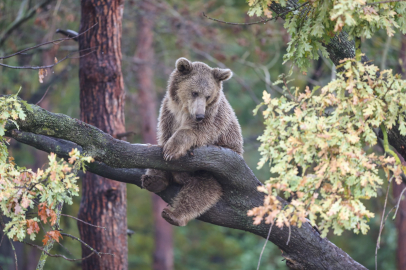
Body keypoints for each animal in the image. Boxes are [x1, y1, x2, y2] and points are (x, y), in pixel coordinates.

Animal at [141, 58, 243, 227]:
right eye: (195, 92)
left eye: (208, 96)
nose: (199, 115)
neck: (184, 109)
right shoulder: (169, 113)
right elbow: (163, 139)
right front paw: (163, 161)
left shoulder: (213, 117)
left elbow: (195, 132)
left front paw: (172, 150)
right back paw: (154, 180)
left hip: (218, 170)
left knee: (200, 191)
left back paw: (173, 214)